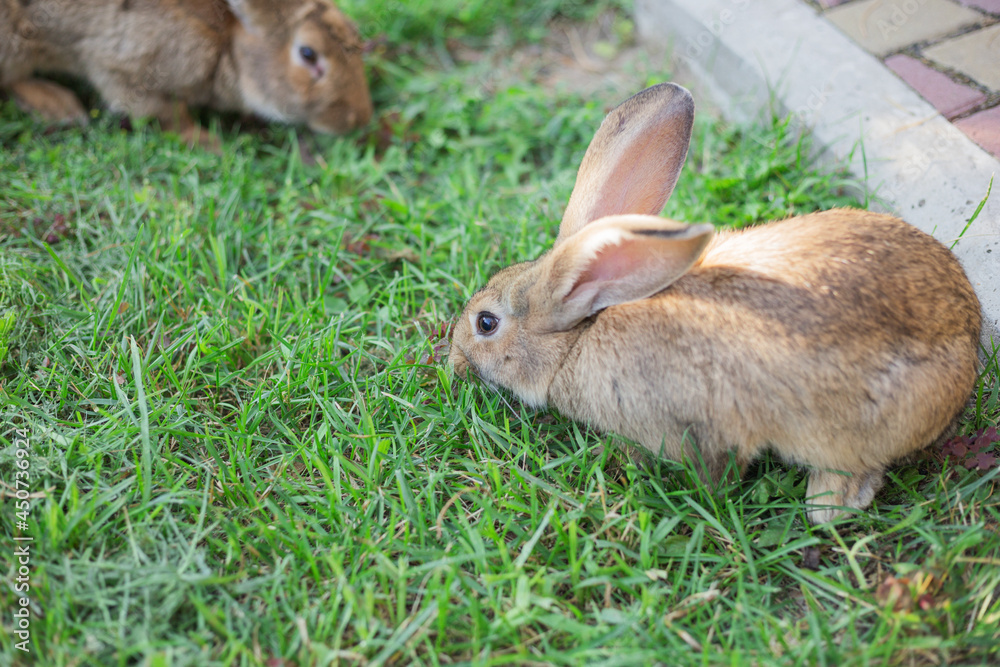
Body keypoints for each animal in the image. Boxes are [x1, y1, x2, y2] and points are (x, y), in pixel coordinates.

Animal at [0, 0, 373, 143]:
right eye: (308, 54)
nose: (358, 119)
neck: (226, 44)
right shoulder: (121, 68)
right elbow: (168, 112)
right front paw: (206, 142)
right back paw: (57, 104)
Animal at [448, 83, 982, 524]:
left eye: (486, 323)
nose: (454, 361)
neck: (579, 337)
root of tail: (968, 348)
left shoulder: (696, 425)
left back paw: (824, 509)